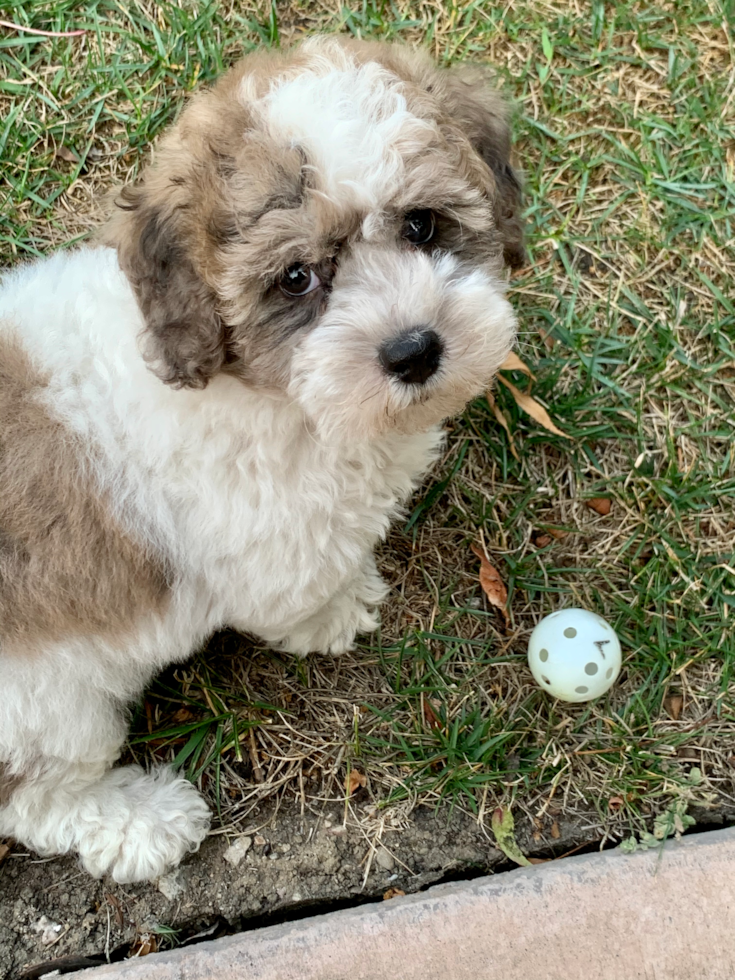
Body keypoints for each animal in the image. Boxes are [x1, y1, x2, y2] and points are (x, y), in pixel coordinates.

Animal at [2, 36, 528, 880]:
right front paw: (340, 609)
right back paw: (142, 821)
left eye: (421, 224)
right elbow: (296, 595)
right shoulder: (270, 539)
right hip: (45, 707)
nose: (414, 350)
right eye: (295, 277)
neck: (252, 382)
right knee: (37, 797)